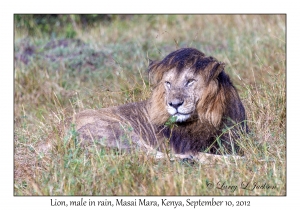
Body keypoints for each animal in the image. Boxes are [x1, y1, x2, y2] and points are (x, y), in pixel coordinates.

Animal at [74, 48, 247, 162]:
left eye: (190, 81)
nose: (174, 104)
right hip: (118, 129)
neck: (207, 117)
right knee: (146, 154)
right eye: (168, 83)